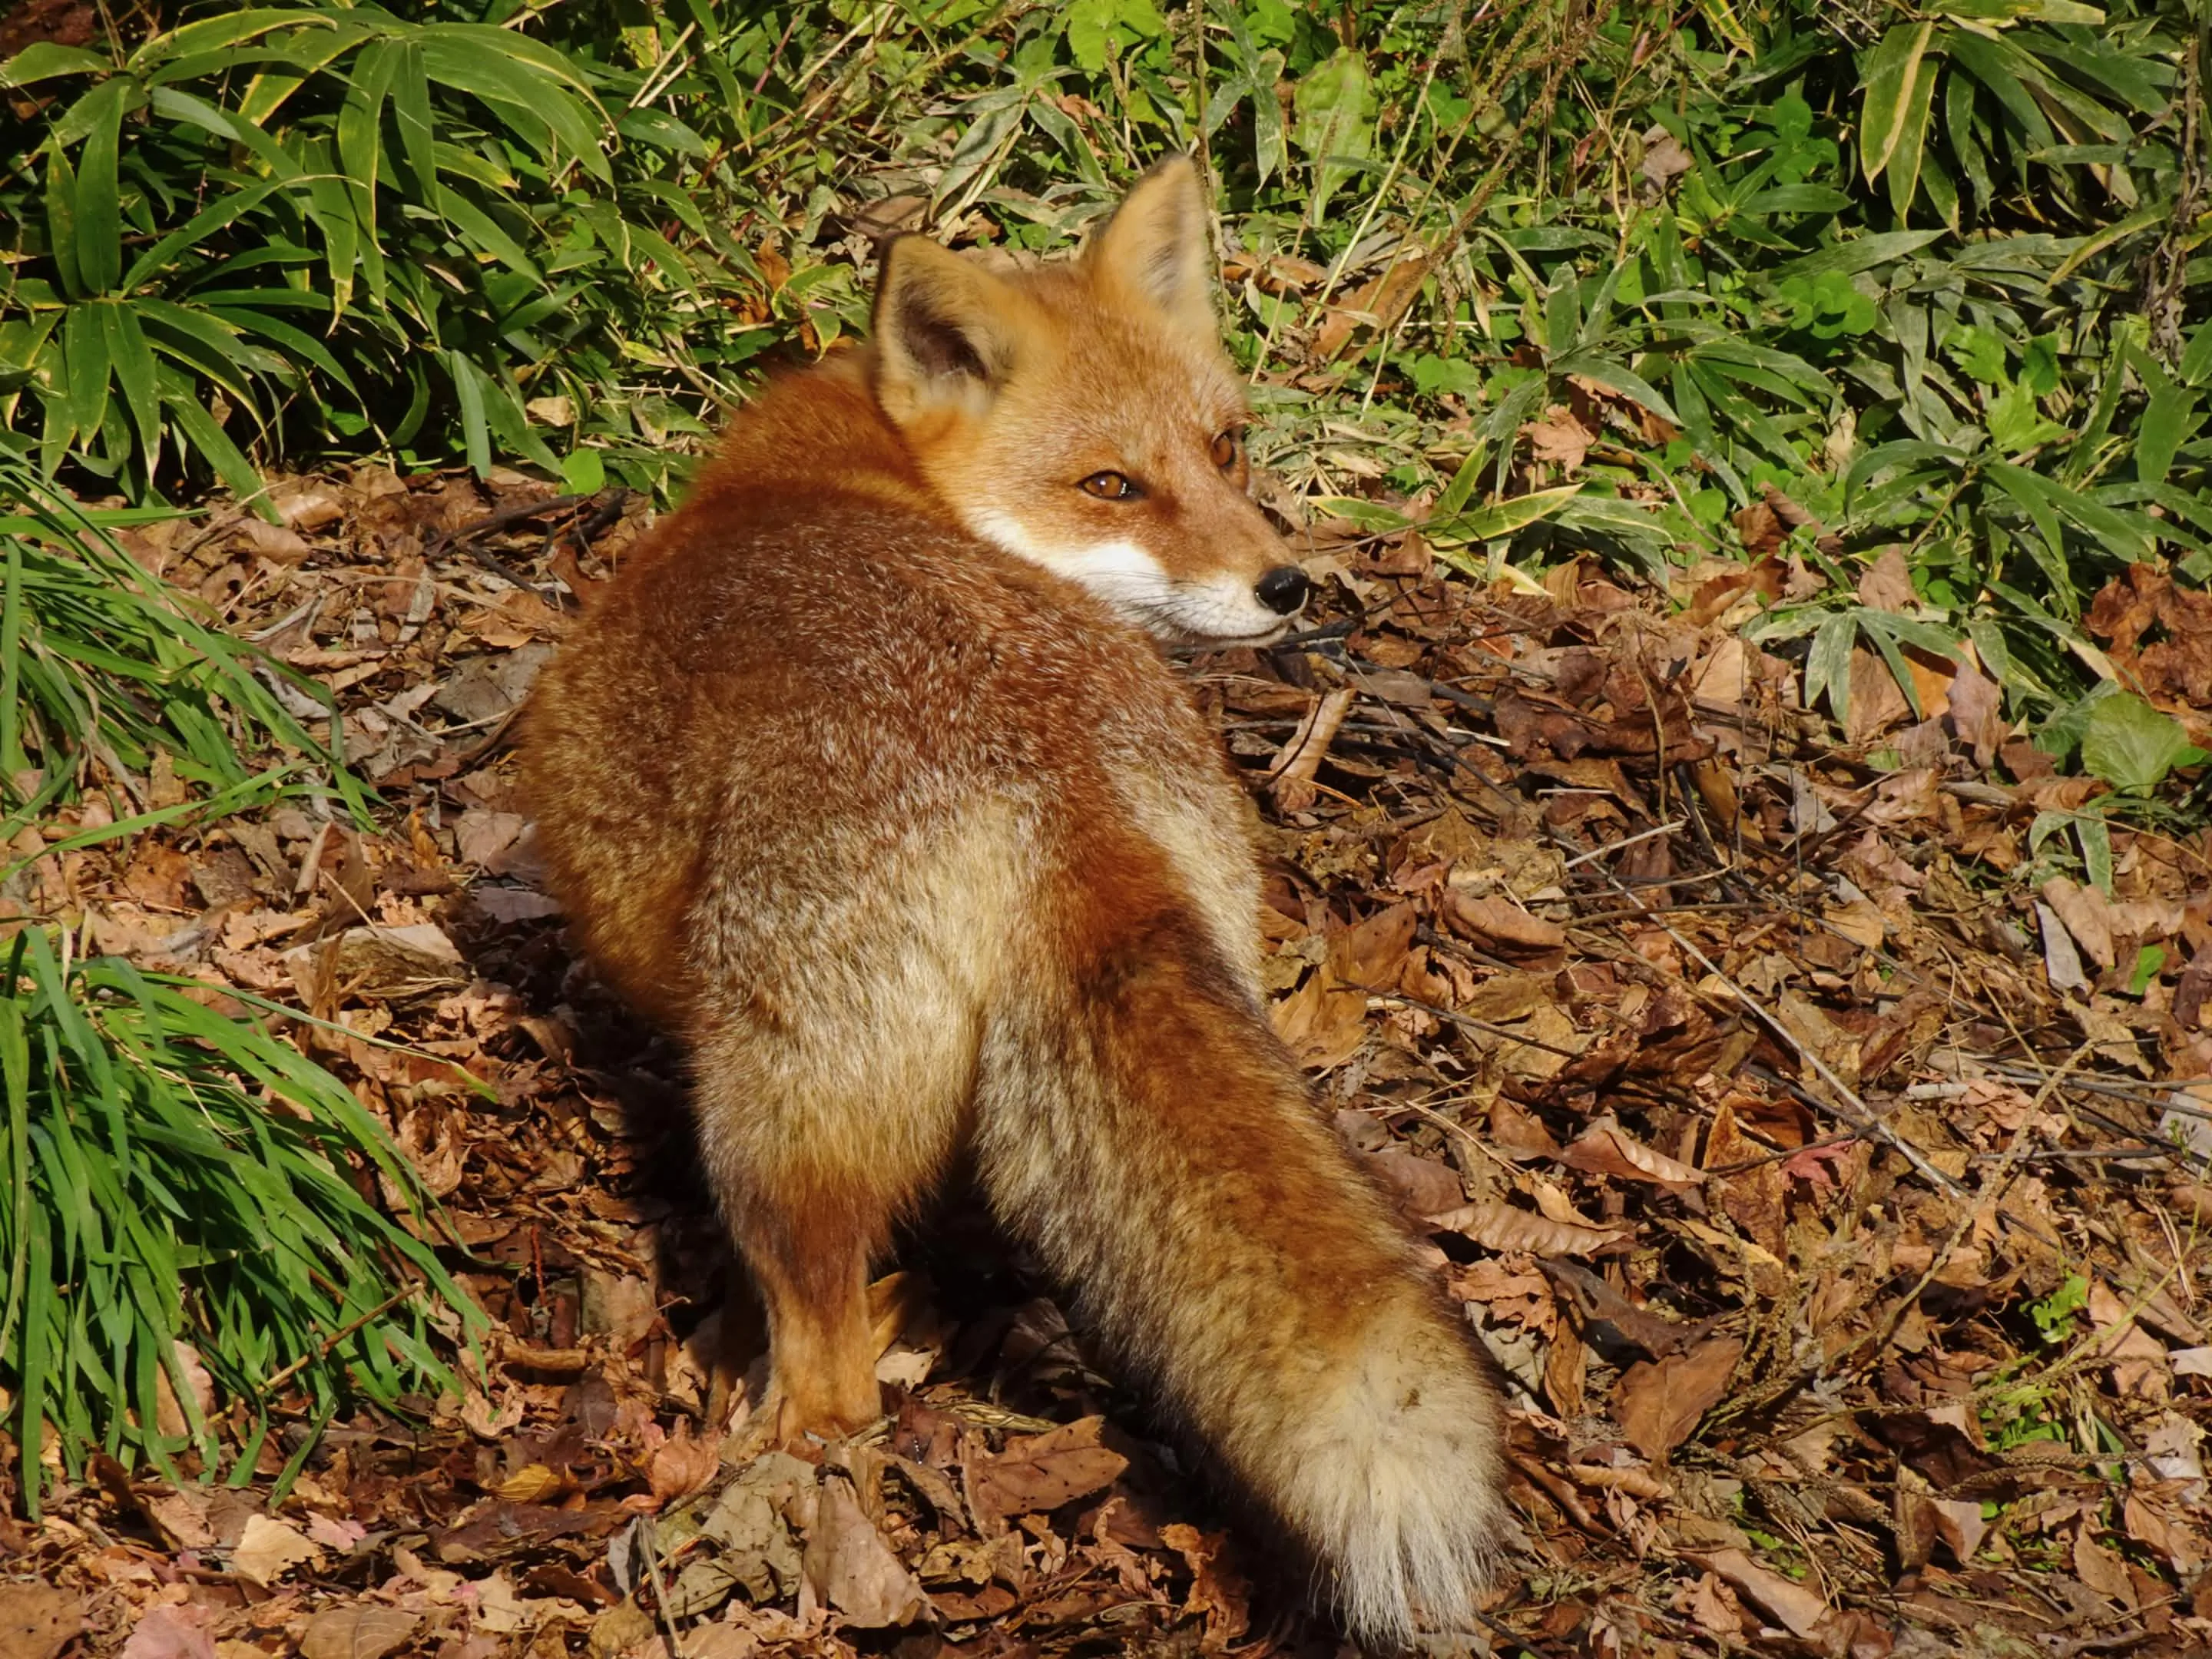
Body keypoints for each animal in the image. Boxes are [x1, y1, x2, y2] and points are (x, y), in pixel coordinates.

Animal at [520, 157, 1512, 1648]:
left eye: (1222, 450)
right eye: (1115, 485)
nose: (1286, 585)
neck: (845, 470)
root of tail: (1057, 781)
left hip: (771, 1111)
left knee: (828, 1372)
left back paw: (768, 1449)